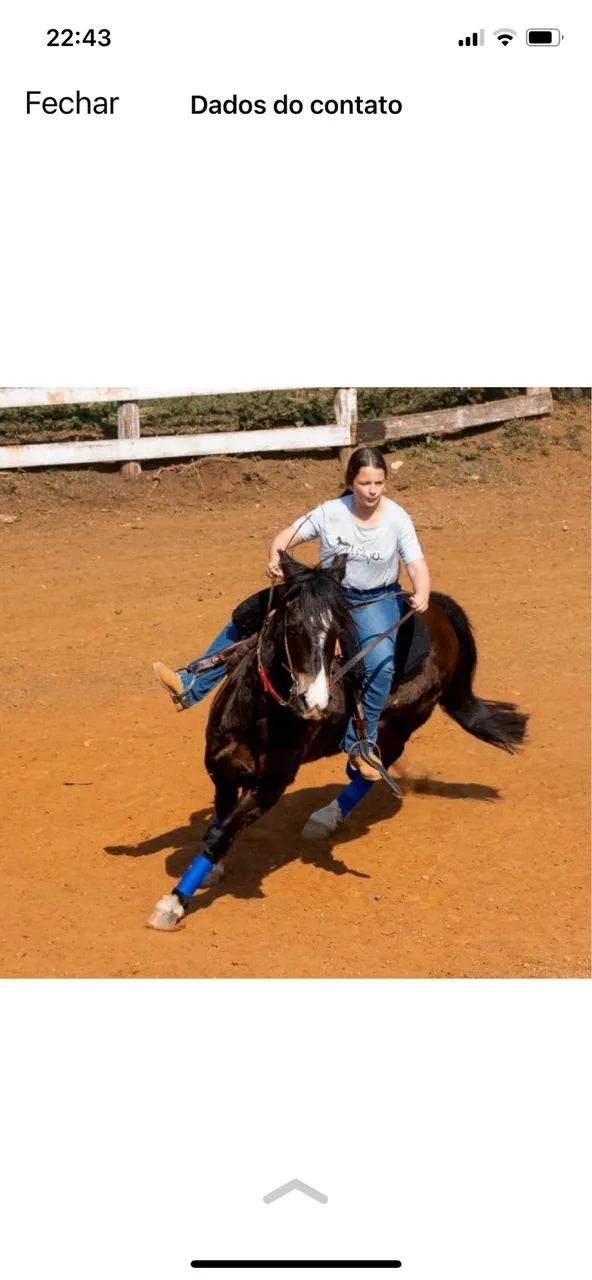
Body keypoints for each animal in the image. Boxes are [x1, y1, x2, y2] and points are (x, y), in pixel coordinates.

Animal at [147, 549, 528, 929]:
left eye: (336, 631)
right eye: (292, 625)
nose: (314, 701)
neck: (259, 713)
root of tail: (435, 607)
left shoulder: (270, 785)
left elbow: (219, 834)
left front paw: (172, 905)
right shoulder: (221, 769)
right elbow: (218, 823)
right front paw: (210, 872)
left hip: (403, 724)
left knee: (374, 766)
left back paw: (327, 815)